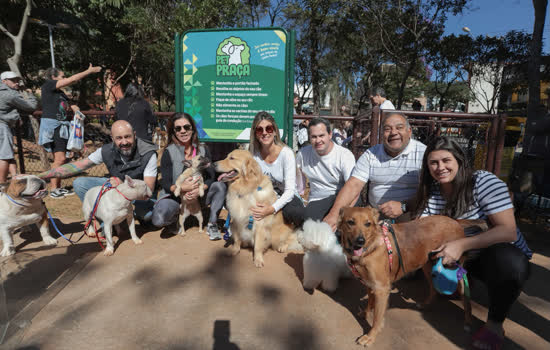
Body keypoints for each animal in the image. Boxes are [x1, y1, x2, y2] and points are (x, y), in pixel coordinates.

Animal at [338, 206, 486, 346]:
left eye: (367, 224)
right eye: (350, 222)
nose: (360, 241)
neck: (370, 247)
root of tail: (455, 221)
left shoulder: (381, 289)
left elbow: (377, 319)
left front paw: (370, 336)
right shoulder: (369, 284)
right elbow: (370, 303)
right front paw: (365, 313)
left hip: (454, 269)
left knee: (465, 296)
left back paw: (468, 322)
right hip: (428, 266)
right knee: (434, 289)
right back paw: (425, 305)